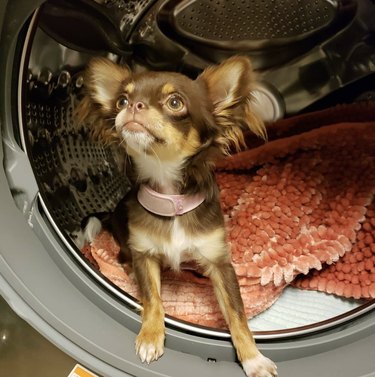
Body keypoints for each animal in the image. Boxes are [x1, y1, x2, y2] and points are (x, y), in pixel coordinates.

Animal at [75, 55, 278, 376]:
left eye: (174, 103)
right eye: (121, 101)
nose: (134, 106)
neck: (171, 197)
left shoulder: (220, 264)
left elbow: (237, 314)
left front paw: (253, 359)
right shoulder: (145, 253)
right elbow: (154, 299)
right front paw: (150, 336)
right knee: (123, 255)